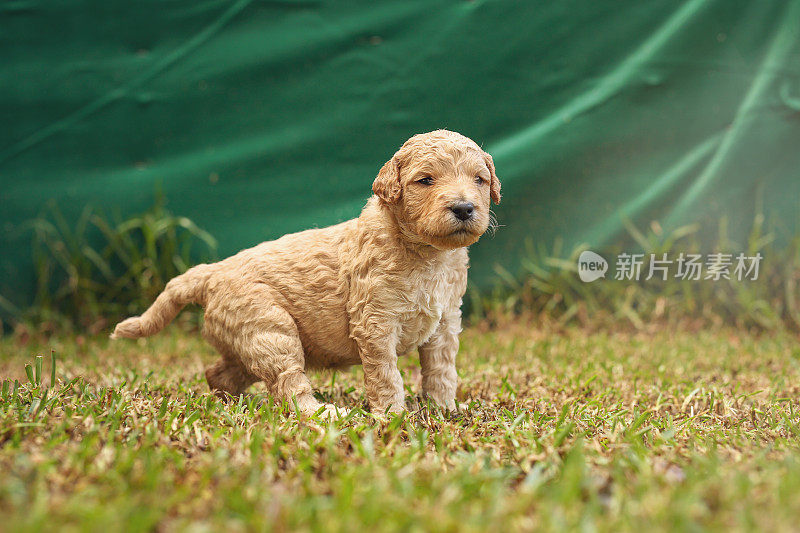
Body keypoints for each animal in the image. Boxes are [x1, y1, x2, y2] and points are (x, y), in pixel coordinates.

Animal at [112, 129, 500, 416]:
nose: (464, 208)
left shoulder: (445, 321)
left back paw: (231, 403)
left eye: (479, 180)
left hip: (247, 338)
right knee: (288, 385)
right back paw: (326, 413)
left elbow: (441, 369)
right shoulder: (375, 323)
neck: (427, 255)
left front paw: (445, 408)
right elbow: (387, 375)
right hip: (271, 329)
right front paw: (391, 414)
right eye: (426, 180)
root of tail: (213, 272)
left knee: (220, 373)